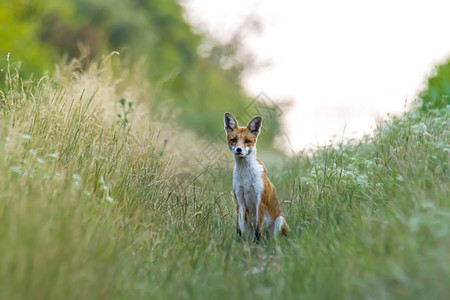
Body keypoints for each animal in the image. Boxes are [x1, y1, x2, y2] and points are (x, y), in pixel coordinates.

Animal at [224, 112, 290, 241]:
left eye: (247, 141)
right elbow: (239, 229)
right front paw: (238, 243)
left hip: (279, 221)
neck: (245, 177)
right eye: (233, 140)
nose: (239, 149)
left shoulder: (260, 201)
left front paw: (257, 243)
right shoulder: (240, 201)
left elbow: (258, 230)